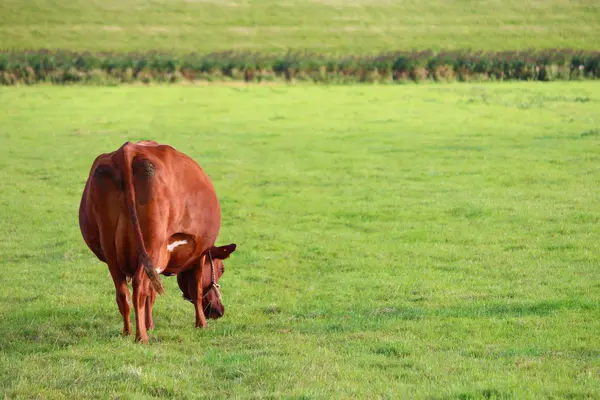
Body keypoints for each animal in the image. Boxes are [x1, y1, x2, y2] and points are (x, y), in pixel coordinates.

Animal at [79, 141, 237, 344]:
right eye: (221, 269)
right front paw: (201, 324)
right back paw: (141, 337)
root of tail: (128, 149)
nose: (219, 311)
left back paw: (127, 332)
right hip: (151, 244)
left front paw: (150, 325)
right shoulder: (198, 254)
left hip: (111, 250)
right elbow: (196, 289)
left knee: (123, 293)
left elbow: (151, 293)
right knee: (138, 288)